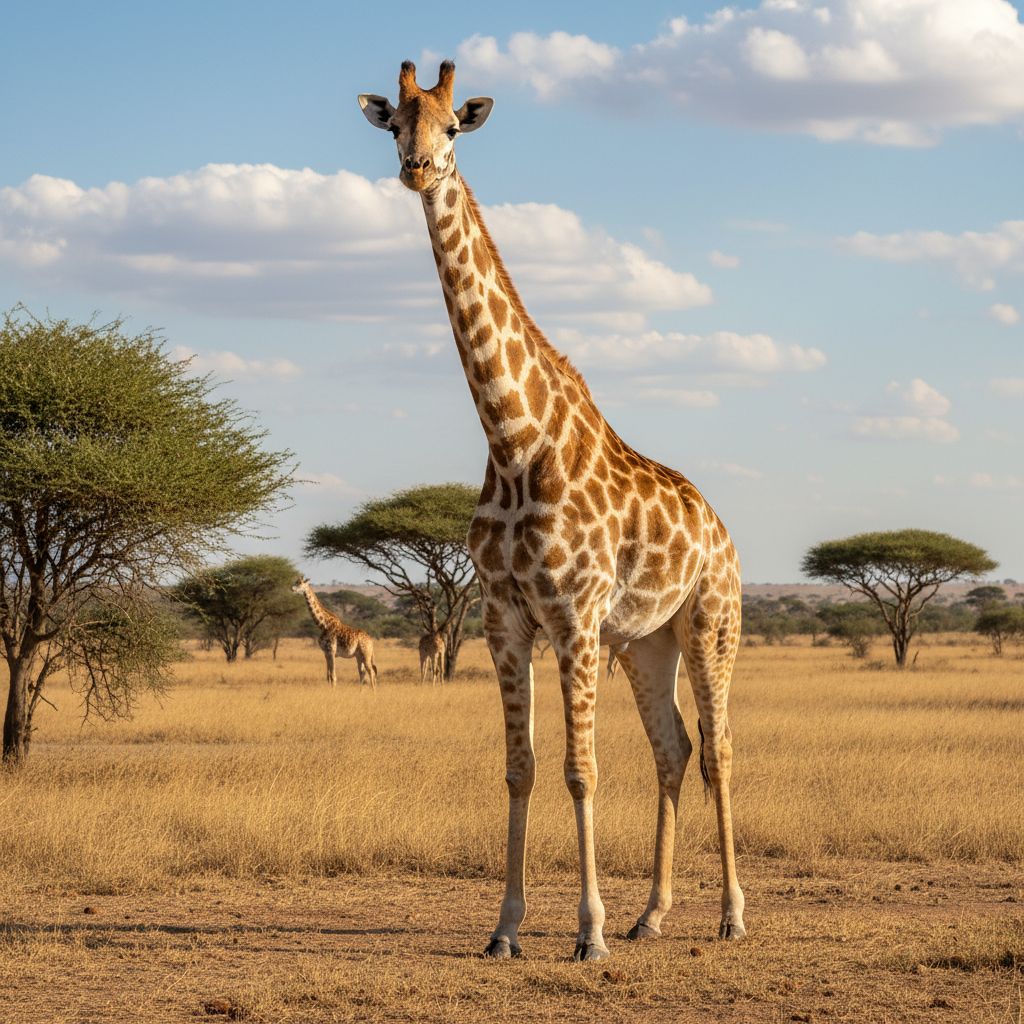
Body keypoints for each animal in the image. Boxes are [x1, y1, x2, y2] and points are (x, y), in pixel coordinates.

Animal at [359, 61, 745, 960]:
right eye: (395, 124)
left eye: (453, 128)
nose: (419, 170)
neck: (512, 438)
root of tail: (721, 529)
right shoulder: (506, 618)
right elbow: (521, 767)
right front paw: (506, 928)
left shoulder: (572, 617)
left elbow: (581, 769)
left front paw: (587, 932)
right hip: (645, 641)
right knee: (674, 748)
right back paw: (652, 915)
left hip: (711, 623)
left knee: (718, 750)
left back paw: (730, 916)